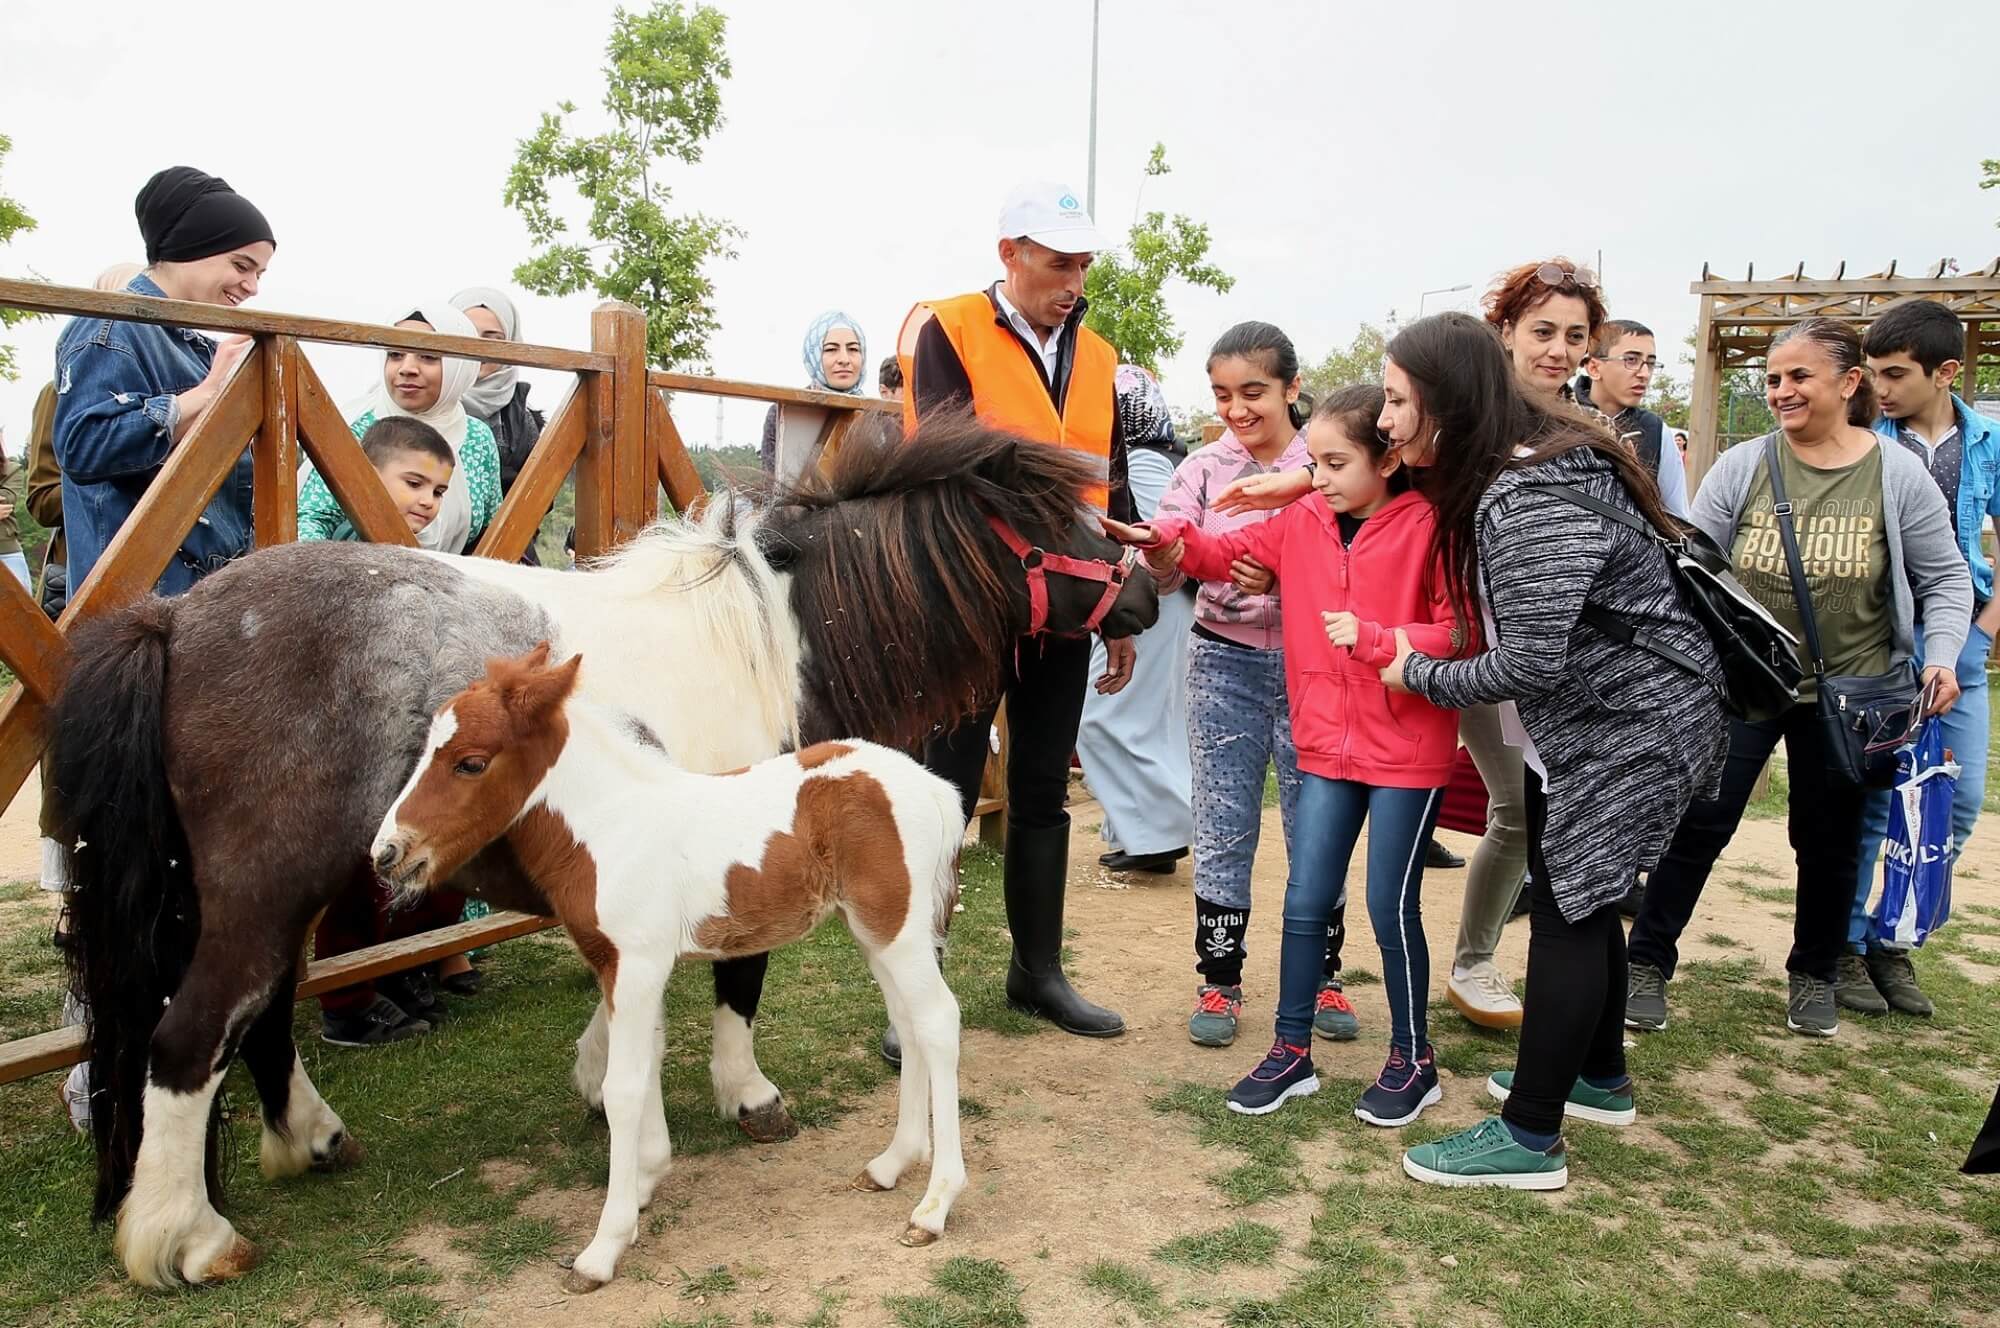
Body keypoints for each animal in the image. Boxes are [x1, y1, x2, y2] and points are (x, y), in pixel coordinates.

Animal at [376, 648, 976, 1288]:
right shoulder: (622, 968)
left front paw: (604, 1245)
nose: (387, 852)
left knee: (938, 1022)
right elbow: (647, 1064)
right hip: (873, 931)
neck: (611, 827)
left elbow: (621, 1086)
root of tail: (932, 785)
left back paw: (934, 1205)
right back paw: (892, 1164)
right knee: (909, 1025)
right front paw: (645, 1181)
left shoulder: (636, 965)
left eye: (470, 762)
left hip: (897, 928)